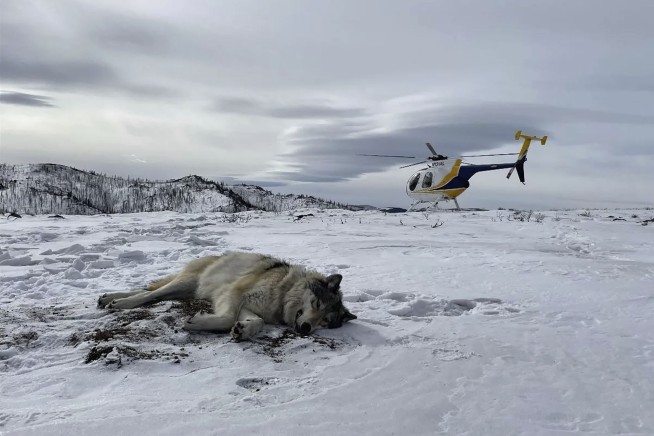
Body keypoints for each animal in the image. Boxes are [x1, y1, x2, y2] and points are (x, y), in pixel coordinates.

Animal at [97, 252, 356, 341]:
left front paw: (243, 330)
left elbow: (256, 322)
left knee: (150, 292)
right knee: (149, 293)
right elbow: (227, 318)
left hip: (185, 289)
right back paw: (120, 302)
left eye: (325, 321)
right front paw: (196, 323)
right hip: (187, 282)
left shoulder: (249, 306)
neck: (283, 291)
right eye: (317, 303)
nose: (305, 328)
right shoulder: (232, 293)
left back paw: (108, 298)